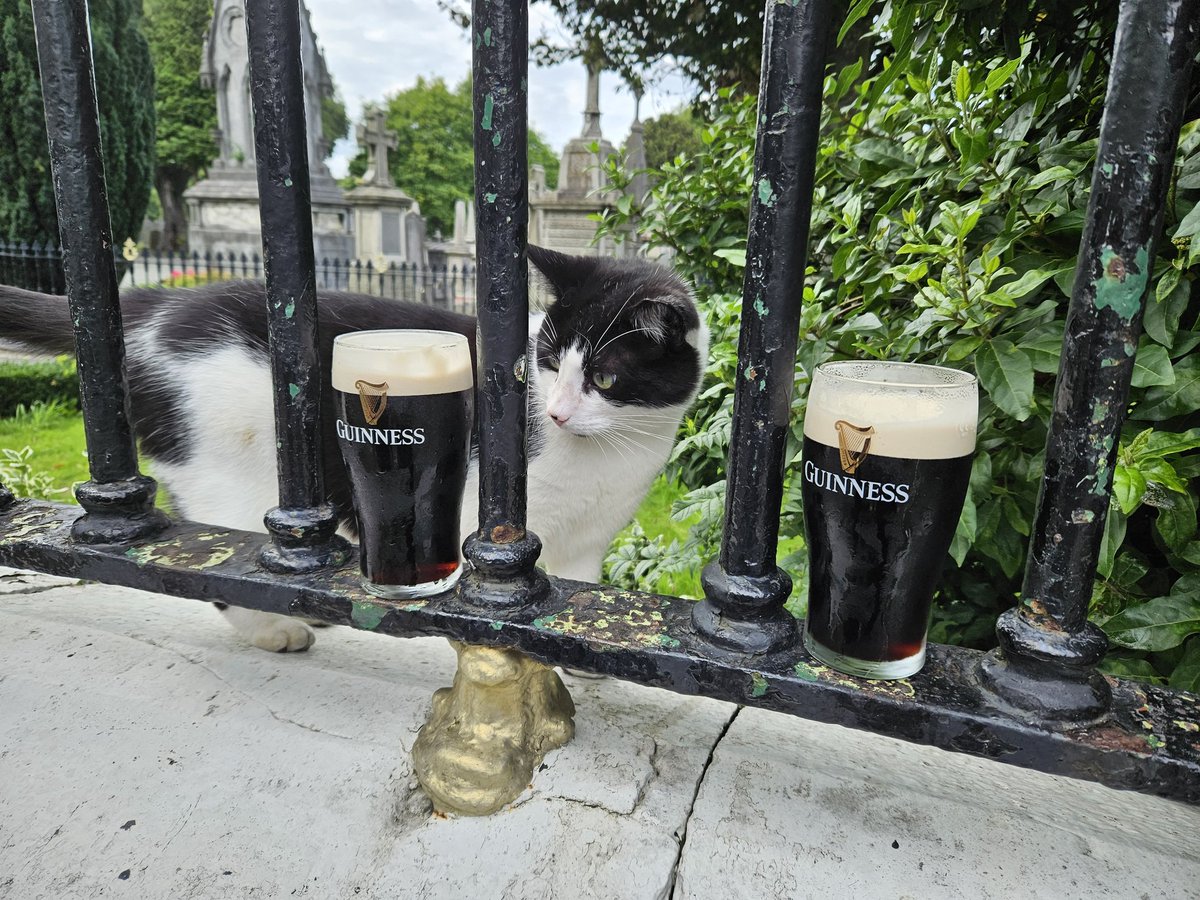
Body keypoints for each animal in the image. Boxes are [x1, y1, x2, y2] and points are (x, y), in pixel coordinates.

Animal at [0, 247, 705, 652]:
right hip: (231, 477)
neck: (610, 452)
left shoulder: (590, 540)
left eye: (604, 379)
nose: (555, 412)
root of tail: (152, 307)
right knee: (223, 570)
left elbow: (579, 602)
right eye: (551, 360)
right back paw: (276, 631)